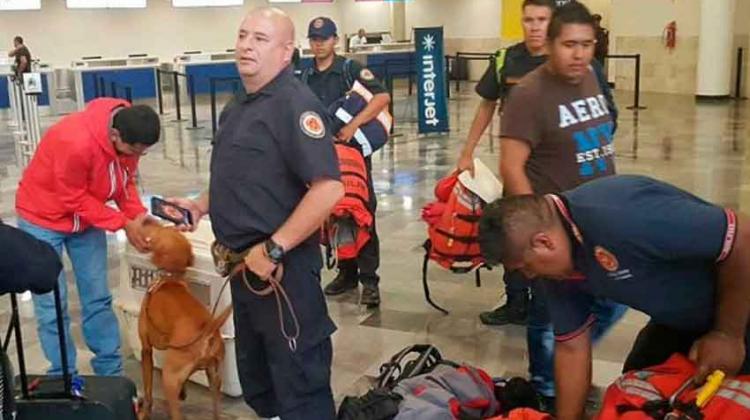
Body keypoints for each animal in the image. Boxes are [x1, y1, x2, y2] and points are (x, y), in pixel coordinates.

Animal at [137, 225, 232, 420]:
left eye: (162, 229)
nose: (148, 221)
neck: (170, 279)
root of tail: (208, 332)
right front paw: (184, 392)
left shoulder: (146, 349)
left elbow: (148, 390)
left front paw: (145, 412)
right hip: (215, 378)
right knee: (216, 412)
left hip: (169, 378)